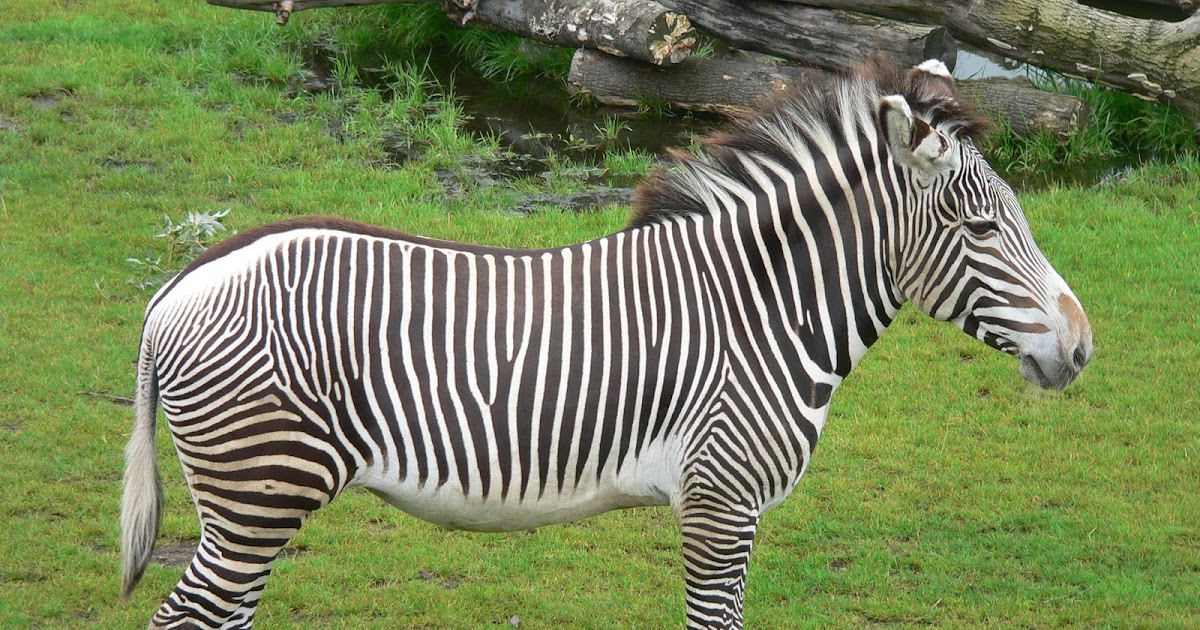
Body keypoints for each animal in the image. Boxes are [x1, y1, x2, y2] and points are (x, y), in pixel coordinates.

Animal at [120, 59, 1092, 629]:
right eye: (980, 228)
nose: (1083, 348)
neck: (762, 311)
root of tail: (178, 285)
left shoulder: (724, 511)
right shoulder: (719, 504)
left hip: (253, 505)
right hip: (259, 495)